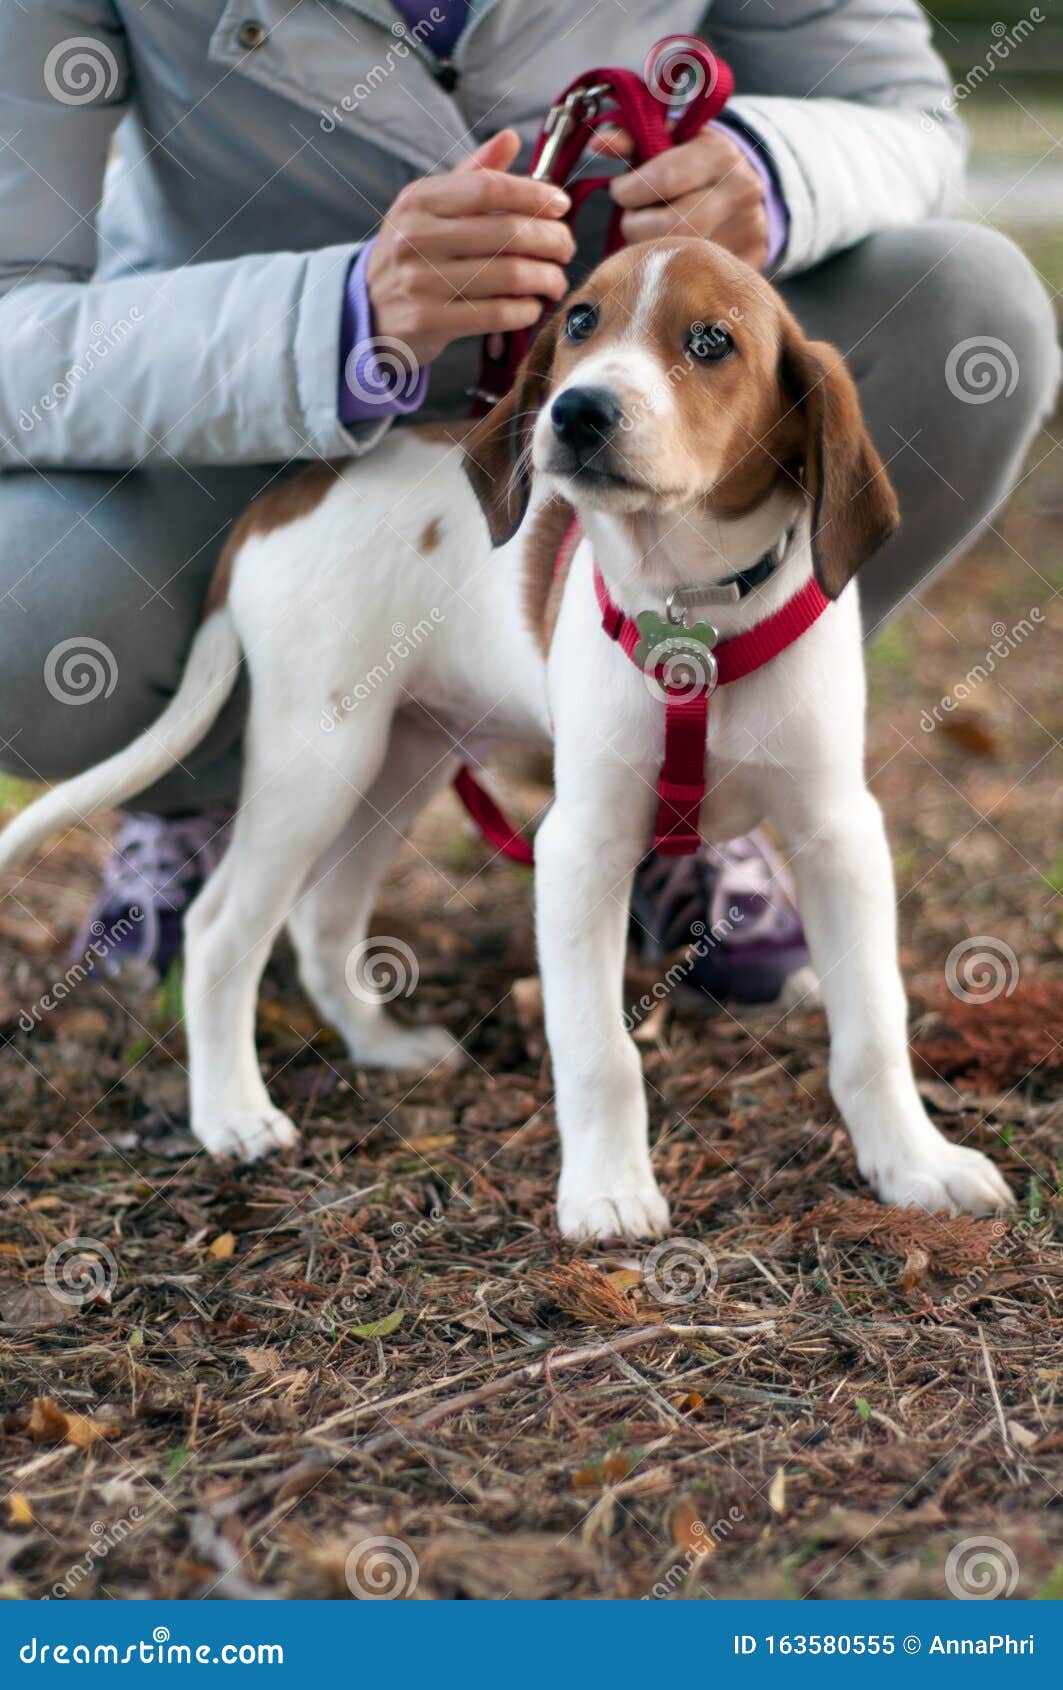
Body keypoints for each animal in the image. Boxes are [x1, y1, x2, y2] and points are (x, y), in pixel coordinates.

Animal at [0, 238, 1013, 1237]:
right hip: (316, 757)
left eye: (711, 341)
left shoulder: (838, 833)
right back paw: (234, 1116)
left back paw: (380, 1046)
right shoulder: (581, 845)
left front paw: (914, 1164)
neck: (694, 617)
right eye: (578, 321)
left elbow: (873, 1026)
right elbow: (598, 1049)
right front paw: (607, 1193)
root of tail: (289, 493)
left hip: (400, 760)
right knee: (220, 933)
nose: (576, 410)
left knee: (321, 919)